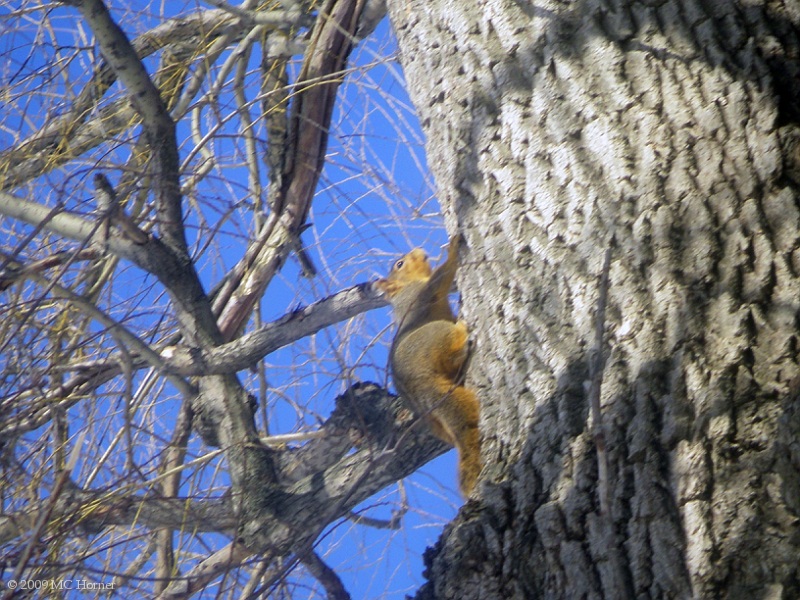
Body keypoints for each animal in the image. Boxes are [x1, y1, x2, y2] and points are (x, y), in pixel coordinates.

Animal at [376, 234, 482, 496]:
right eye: (400, 264)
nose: (418, 250)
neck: (407, 285)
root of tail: (419, 385)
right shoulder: (422, 293)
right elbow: (442, 276)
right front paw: (453, 249)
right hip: (434, 336)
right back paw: (463, 337)